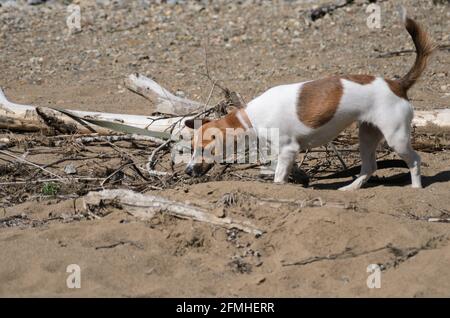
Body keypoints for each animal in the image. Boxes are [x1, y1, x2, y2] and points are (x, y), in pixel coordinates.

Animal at [184, 11, 436, 191]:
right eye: (192, 149)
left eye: (203, 149)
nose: (187, 171)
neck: (250, 119)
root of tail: (397, 85)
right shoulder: (286, 154)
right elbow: (284, 171)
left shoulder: (288, 149)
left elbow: (278, 178)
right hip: (366, 135)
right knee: (369, 166)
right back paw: (350, 188)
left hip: (396, 138)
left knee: (414, 160)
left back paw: (415, 188)